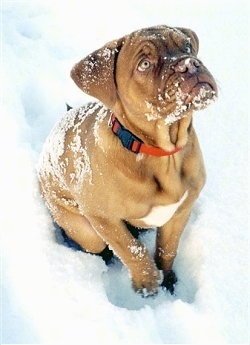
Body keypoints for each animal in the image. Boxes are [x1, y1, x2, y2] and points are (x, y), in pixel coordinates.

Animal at [38, 26, 218, 296]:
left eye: (187, 46)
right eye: (144, 64)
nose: (189, 65)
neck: (163, 154)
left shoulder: (180, 212)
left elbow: (167, 249)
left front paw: (167, 279)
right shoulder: (102, 217)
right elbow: (132, 250)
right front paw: (147, 283)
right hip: (82, 228)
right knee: (96, 245)